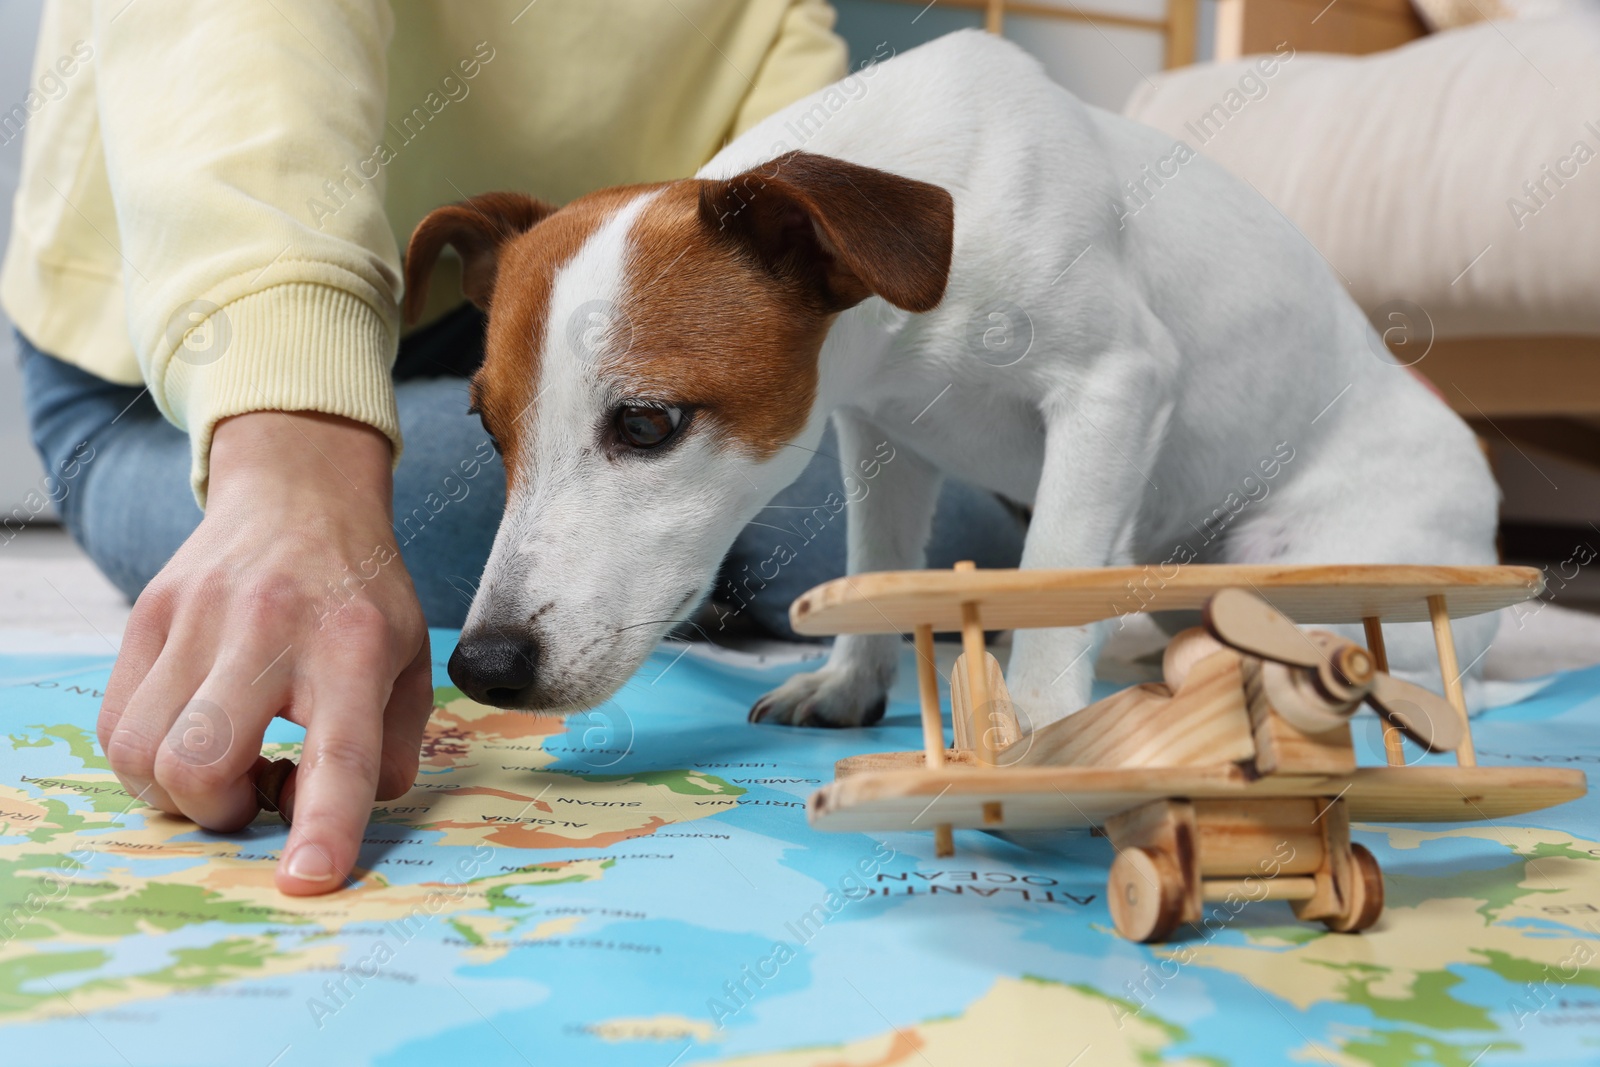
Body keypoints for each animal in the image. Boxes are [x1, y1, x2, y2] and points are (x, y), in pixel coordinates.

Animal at [403, 35, 1497, 735]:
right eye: (488, 429)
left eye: (645, 423)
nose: (480, 666)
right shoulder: (884, 433)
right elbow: (878, 562)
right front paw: (852, 684)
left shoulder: (1115, 385)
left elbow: (1055, 562)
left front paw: (1042, 719)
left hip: (1319, 569)